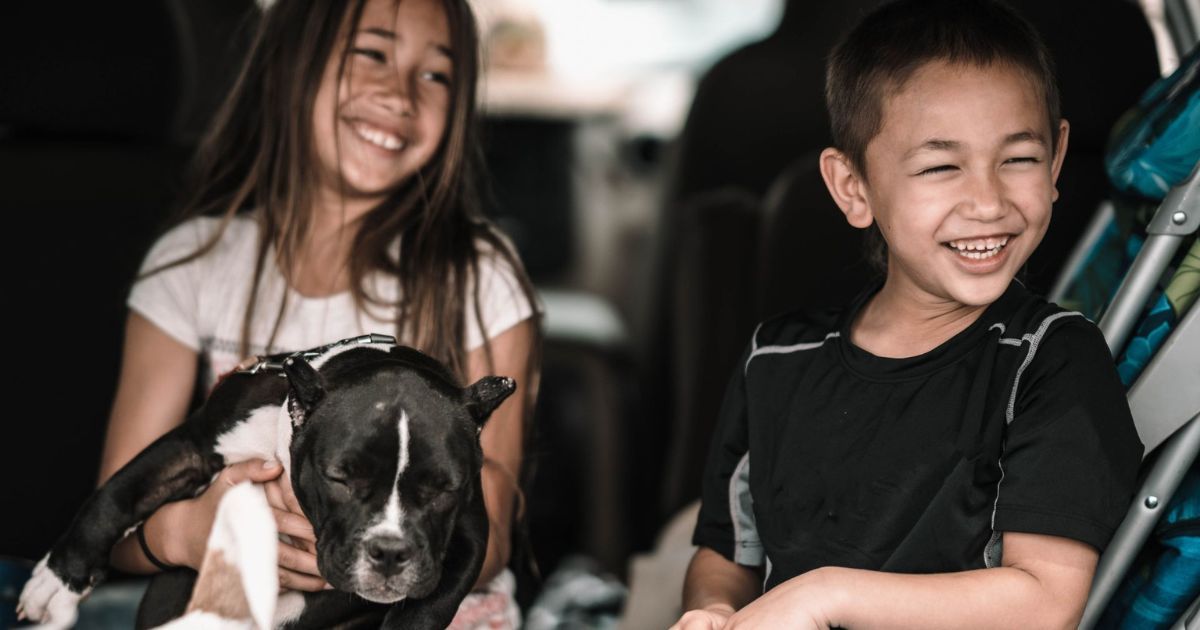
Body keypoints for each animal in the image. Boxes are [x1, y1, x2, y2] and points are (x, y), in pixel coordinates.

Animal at [17, 331, 516, 624]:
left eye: (443, 490)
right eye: (340, 478)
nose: (390, 552)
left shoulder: (471, 534)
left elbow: (430, 608)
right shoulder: (195, 445)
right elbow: (119, 494)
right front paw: (57, 581)